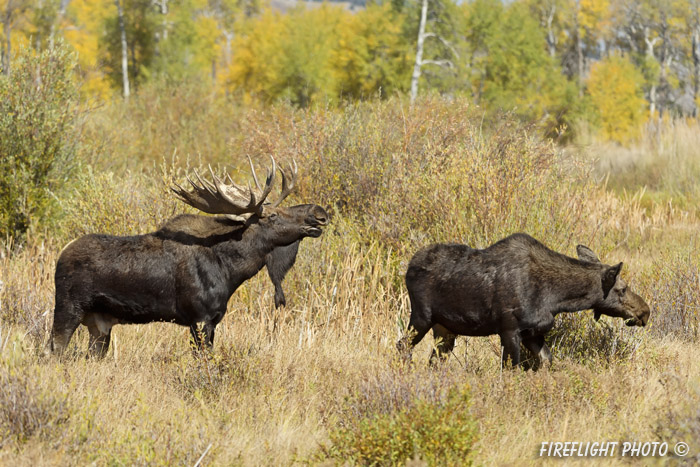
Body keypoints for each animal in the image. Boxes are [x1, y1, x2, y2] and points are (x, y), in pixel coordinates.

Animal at [50, 158, 330, 358]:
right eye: (273, 216)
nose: (319, 213)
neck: (231, 270)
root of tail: (61, 254)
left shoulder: (213, 320)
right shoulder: (200, 318)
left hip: (100, 324)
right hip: (68, 309)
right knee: (54, 351)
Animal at [396, 236, 652, 372]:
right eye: (622, 289)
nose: (645, 311)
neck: (557, 298)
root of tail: (408, 266)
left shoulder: (532, 333)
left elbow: (547, 361)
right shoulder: (509, 330)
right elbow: (511, 369)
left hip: (446, 329)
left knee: (434, 360)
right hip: (421, 317)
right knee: (402, 345)